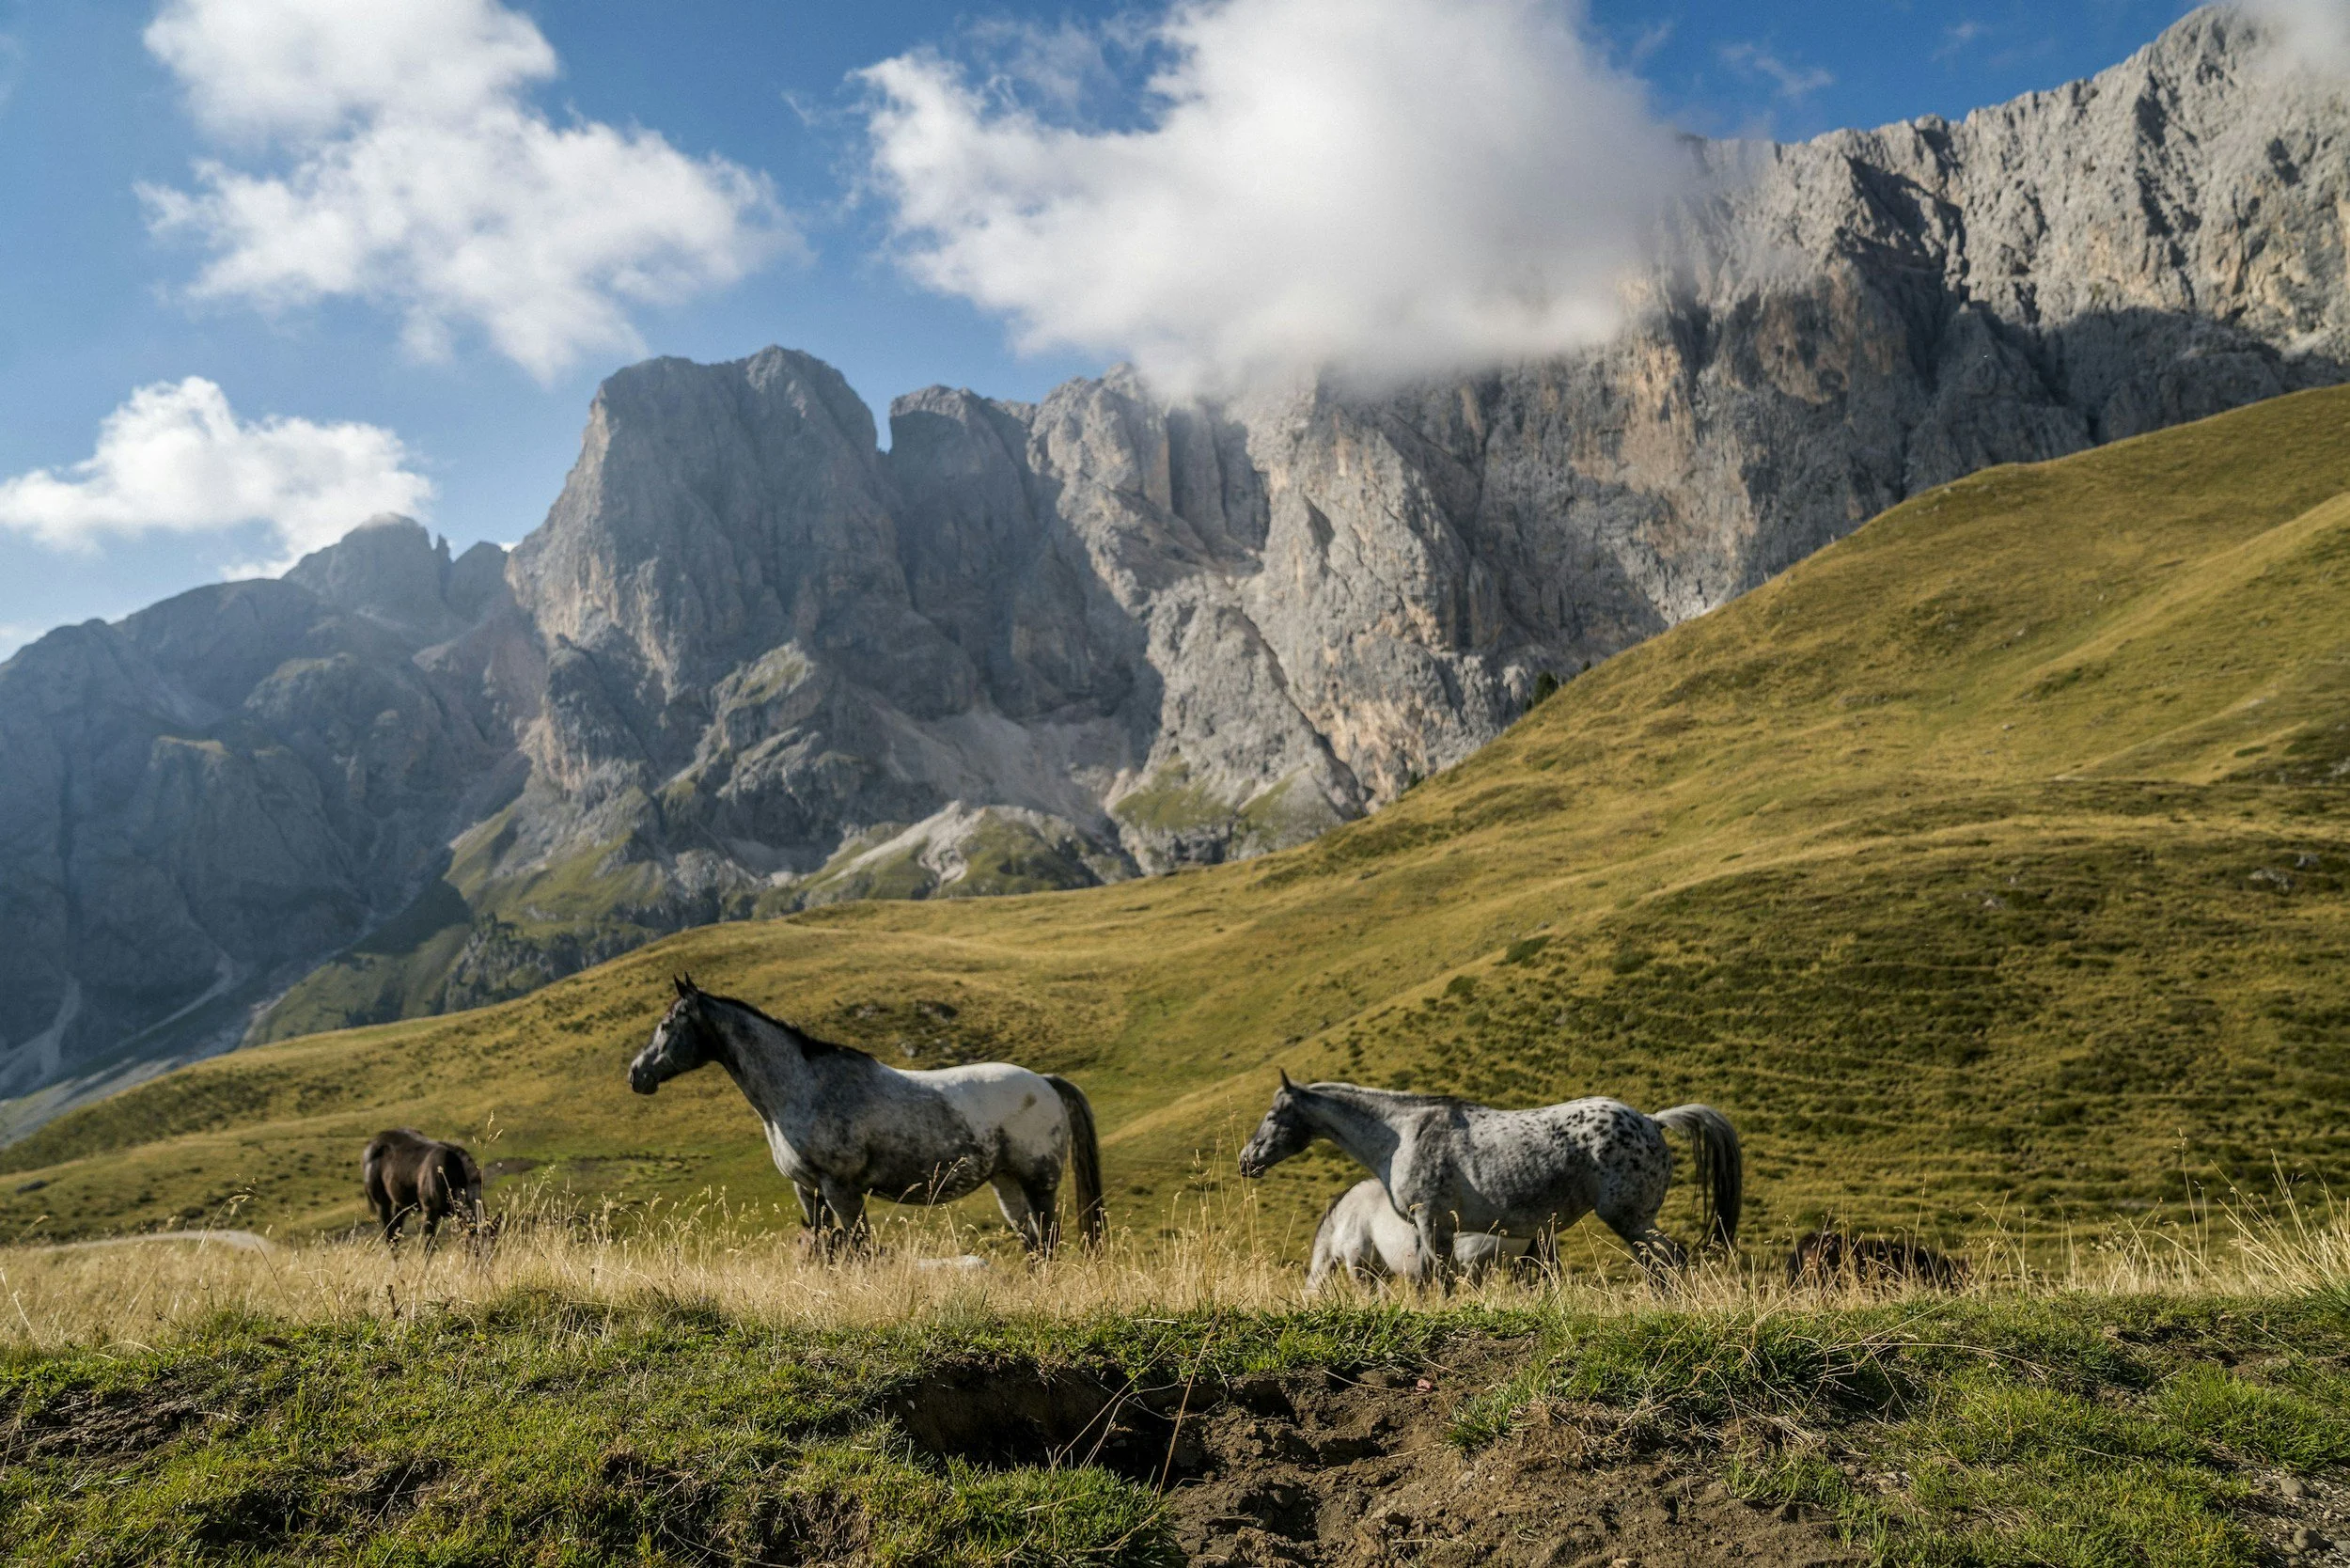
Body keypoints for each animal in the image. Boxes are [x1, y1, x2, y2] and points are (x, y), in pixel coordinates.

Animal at [362, 1128, 488, 1248]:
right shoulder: (430, 1211)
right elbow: (430, 1245)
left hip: (402, 1204)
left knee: (395, 1233)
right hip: (381, 1203)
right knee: (389, 1236)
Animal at [627, 976, 1105, 1257]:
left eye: (667, 1025)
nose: (636, 1074)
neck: (803, 1087)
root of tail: (1044, 1082)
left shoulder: (842, 1189)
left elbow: (860, 1246)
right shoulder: (807, 1190)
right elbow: (822, 1245)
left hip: (1038, 1181)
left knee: (1049, 1239)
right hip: (1006, 1183)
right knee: (1034, 1243)